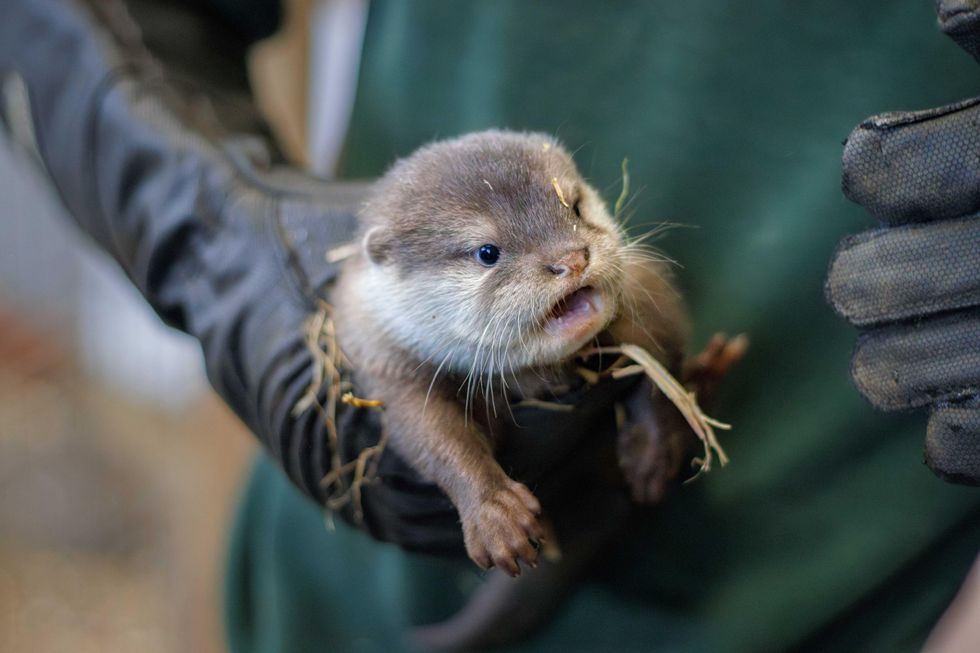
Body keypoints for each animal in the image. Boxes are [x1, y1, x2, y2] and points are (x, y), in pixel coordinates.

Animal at [334, 129, 692, 576]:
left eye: (575, 206)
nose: (572, 259)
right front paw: (494, 514)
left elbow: (659, 364)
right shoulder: (386, 363)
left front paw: (653, 449)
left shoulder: (647, 296)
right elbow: (433, 435)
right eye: (487, 252)